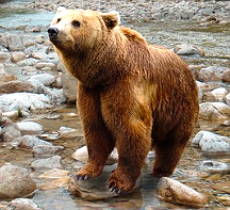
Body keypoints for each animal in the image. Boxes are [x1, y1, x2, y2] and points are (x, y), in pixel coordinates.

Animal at [48, 7, 199, 194]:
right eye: (58, 19)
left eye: (76, 22)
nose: (53, 31)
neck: (107, 70)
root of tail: (186, 67)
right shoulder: (91, 92)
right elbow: (95, 129)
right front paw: (85, 172)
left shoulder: (125, 85)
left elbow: (131, 129)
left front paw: (117, 183)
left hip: (179, 105)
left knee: (172, 144)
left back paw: (160, 171)